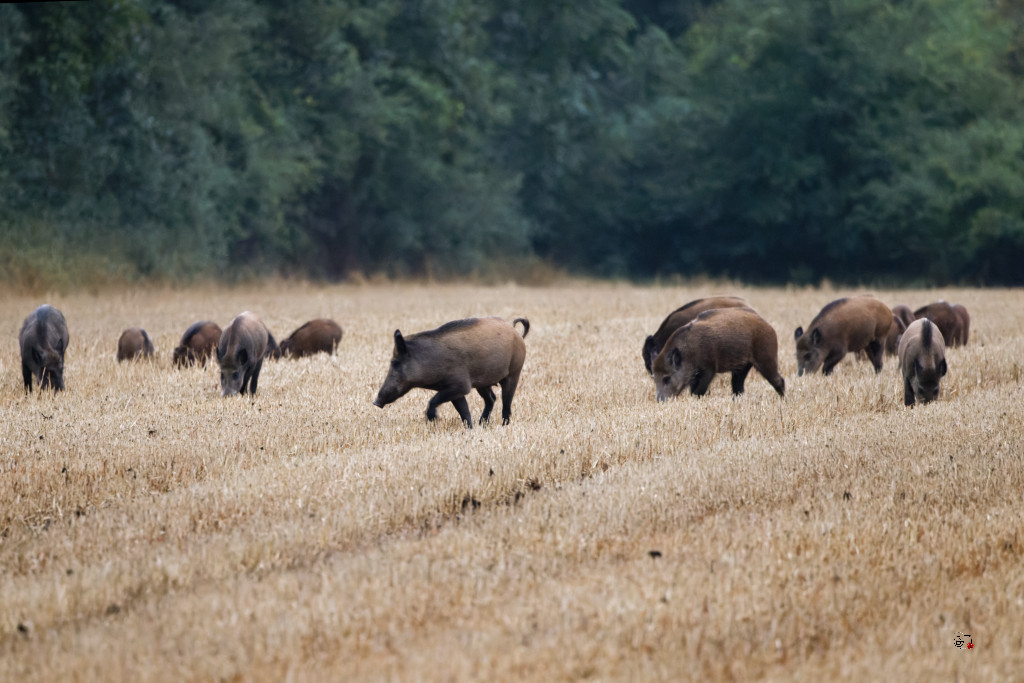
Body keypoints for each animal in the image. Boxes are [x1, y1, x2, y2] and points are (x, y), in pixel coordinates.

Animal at [372, 317, 529, 428]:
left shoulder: (460, 385)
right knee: (491, 398)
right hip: (483, 383)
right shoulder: (455, 390)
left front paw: (433, 420)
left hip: (514, 372)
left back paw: (504, 425)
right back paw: (482, 424)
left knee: (506, 402)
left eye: (395, 363)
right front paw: (470, 428)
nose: (375, 402)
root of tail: (516, 332)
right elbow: (464, 411)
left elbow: (434, 400)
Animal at [652, 307, 784, 400]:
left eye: (667, 378)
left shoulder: (708, 369)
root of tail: (769, 326)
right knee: (738, 388)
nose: (660, 401)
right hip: (742, 367)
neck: (689, 352)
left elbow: (698, 391)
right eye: (654, 378)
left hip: (767, 359)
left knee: (779, 380)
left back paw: (783, 400)